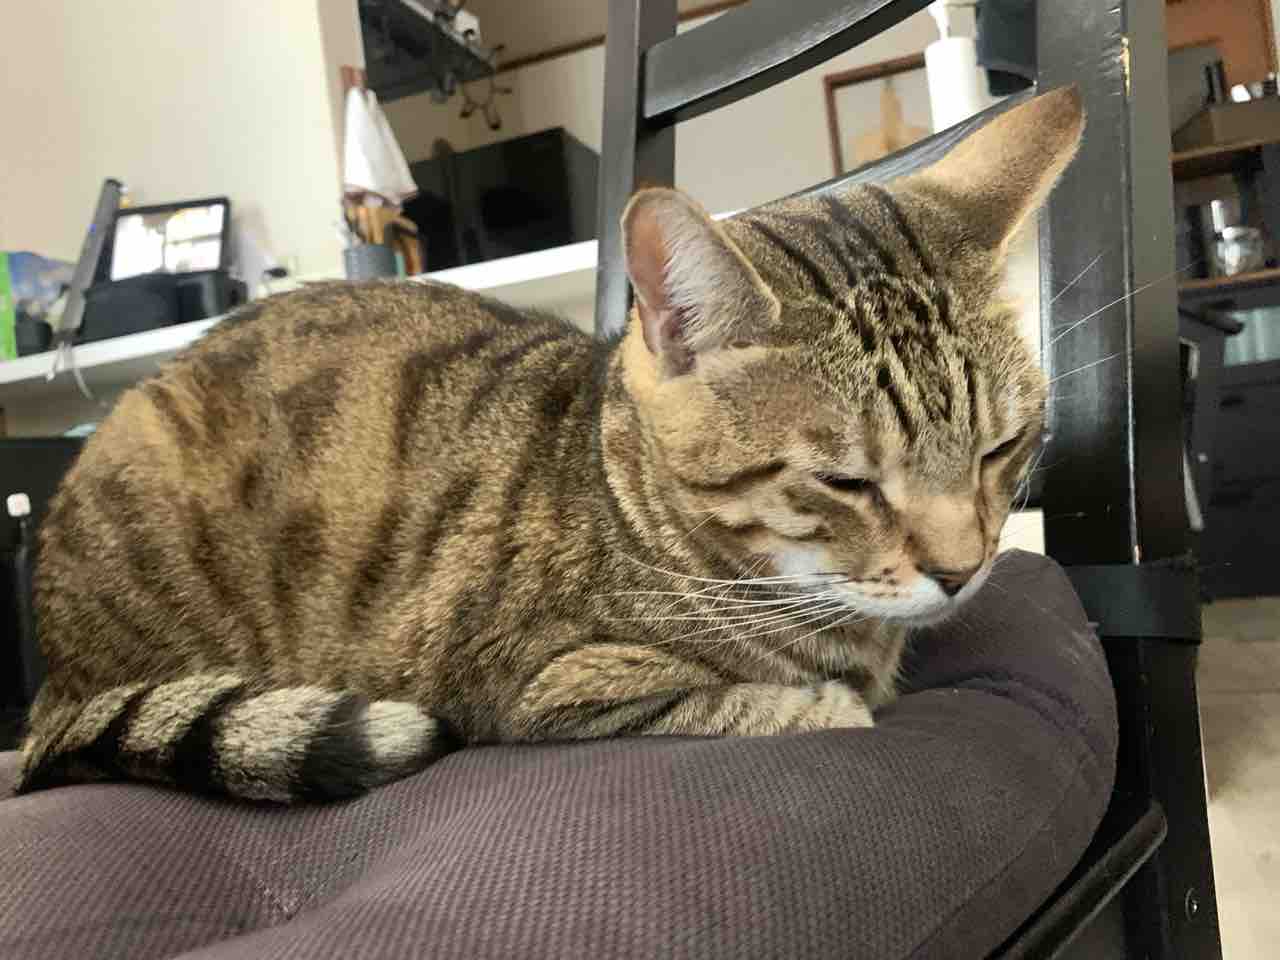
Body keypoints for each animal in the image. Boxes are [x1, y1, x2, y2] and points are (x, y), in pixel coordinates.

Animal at [17, 88, 1082, 803]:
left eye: (1002, 449)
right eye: (845, 482)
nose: (963, 571)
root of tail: (51, 685)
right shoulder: (549, 682)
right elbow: (752, 699)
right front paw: (824, 699)